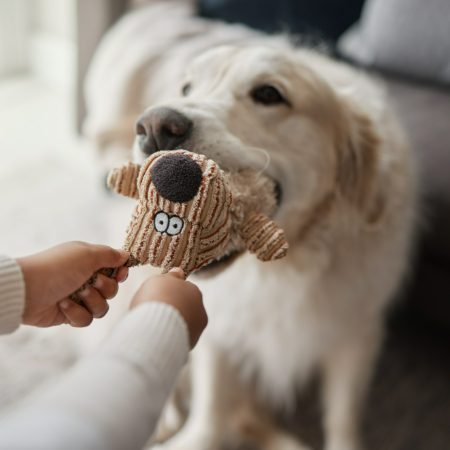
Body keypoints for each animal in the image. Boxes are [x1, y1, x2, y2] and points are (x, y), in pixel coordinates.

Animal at [83, 1, 414, 448]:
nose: (152, 126)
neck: (283, 269)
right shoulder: (222, 329)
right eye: (186, 88)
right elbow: (210, 409)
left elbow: (343, 417)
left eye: (269, 94)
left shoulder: (356, 332)